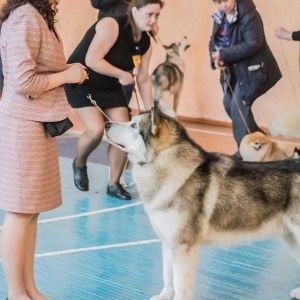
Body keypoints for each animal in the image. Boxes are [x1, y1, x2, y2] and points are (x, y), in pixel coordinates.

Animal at [104, 103, 300, 300]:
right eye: (130, 120)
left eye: (133, 126)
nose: (106, 124)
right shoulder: (168, 244)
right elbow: (168, 277)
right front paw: (164, 296)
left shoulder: (183, 247)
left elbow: (180, 284)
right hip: (291, 240)